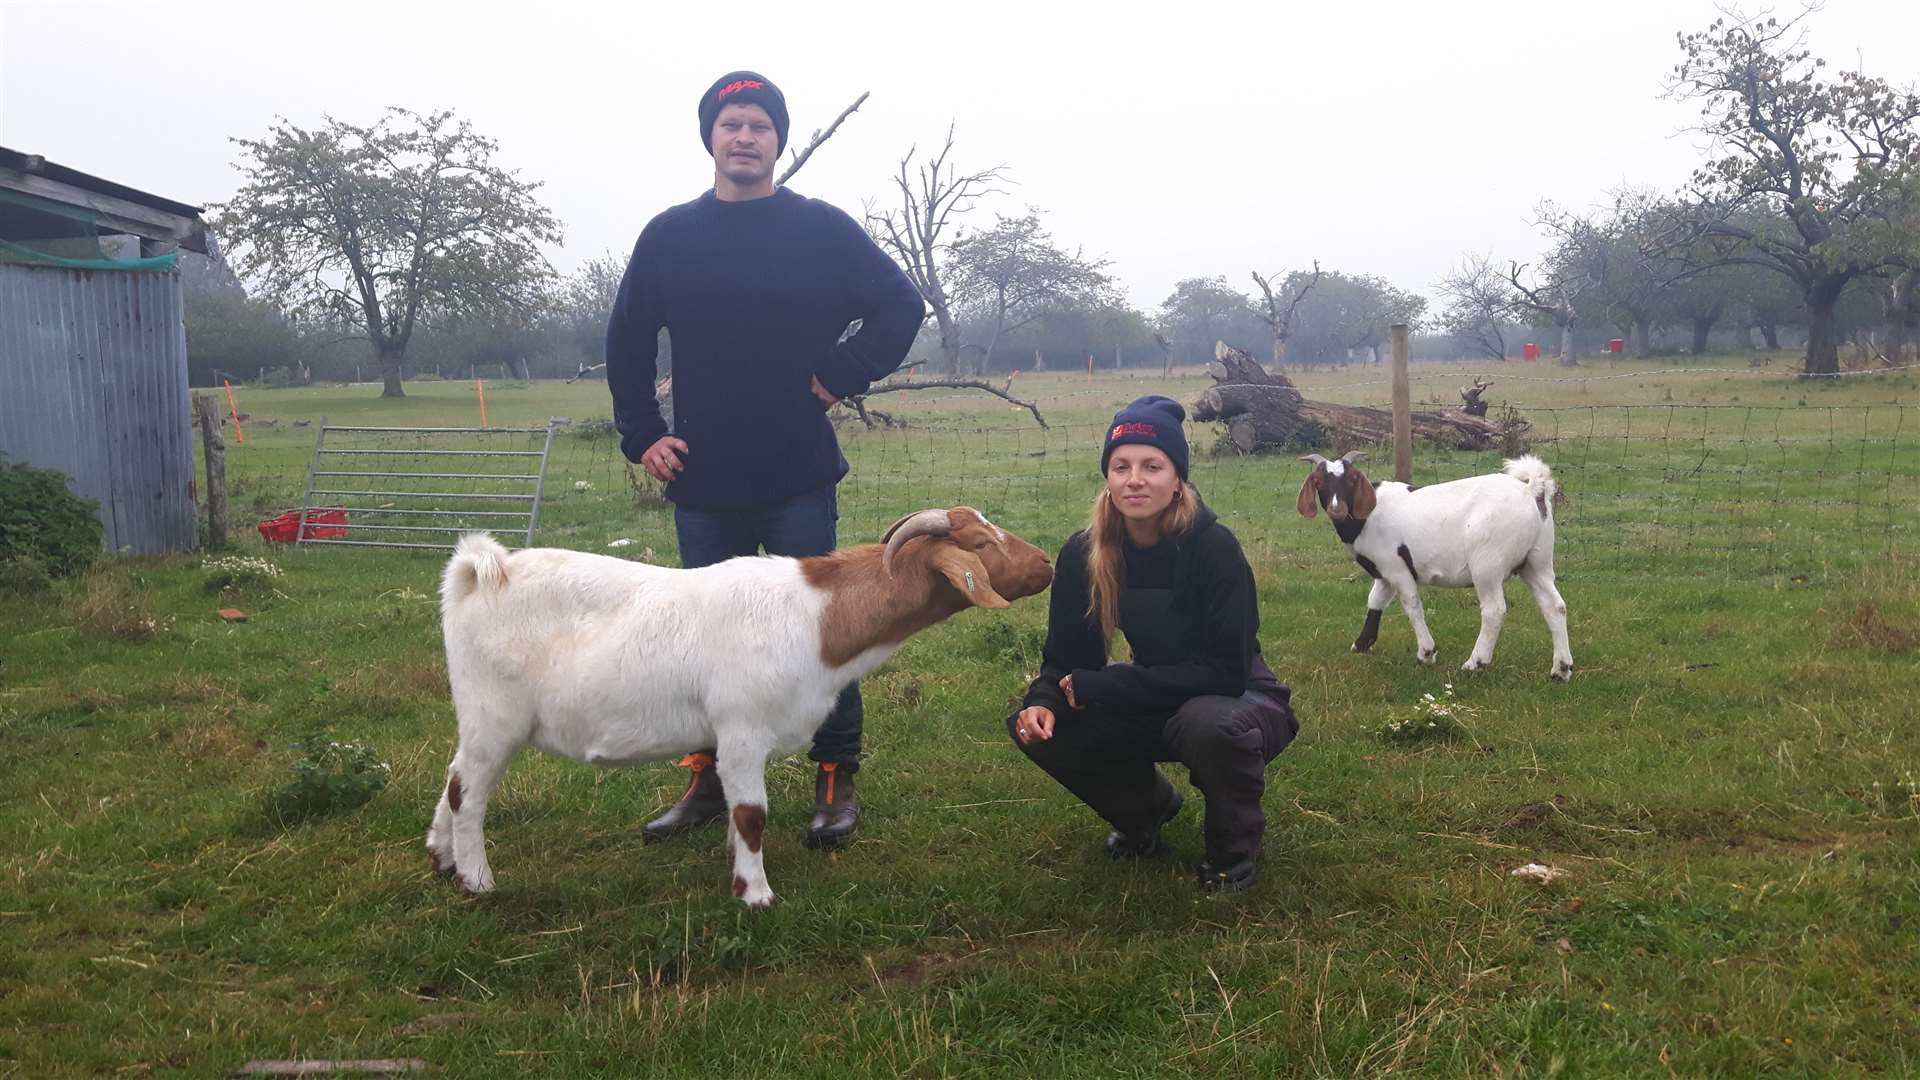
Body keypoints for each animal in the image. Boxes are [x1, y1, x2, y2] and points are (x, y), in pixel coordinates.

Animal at [428, 503, 1052, 899]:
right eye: (982, 543)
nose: (1046, 563)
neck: (818, 617)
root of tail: (481, 572)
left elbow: (737, 814)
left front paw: (737, 868)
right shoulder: (742, 729)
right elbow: (753, 815)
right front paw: (755, 894)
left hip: (477, 718)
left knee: (452, 781)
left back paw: (441, 859)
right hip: (496, 716)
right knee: (468, 792)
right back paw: (477, 880)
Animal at [1290, 449, 1574, 676]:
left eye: (1351, 479)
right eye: (1318, 481)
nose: (1337, 509)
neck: (1367, 515)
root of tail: (1531, 491)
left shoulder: (1396, 567)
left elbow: (1411, 605)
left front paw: (1427, 653)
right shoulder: (1384, 571)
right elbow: (1375, 601)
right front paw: (1361, 644)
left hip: (1488, 562)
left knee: (1494, 609)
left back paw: (1475, 662)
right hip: (1536, 561)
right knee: (1555, 606)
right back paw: (1561, 669)